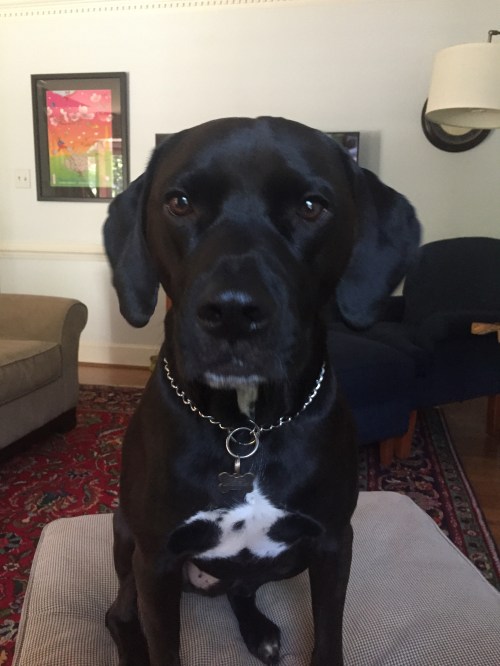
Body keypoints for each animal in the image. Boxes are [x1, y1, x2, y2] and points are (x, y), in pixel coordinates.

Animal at [103, 116, 420, 666]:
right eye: (179, 202)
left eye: (311, 206)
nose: (232, 311)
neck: (245, 429)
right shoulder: (157, 557)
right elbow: (165, 645)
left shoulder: (333, 541)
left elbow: (328, 634)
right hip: (127, 542)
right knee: (120, 613)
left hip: (288, 559)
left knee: (242, 587)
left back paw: (259, 630)